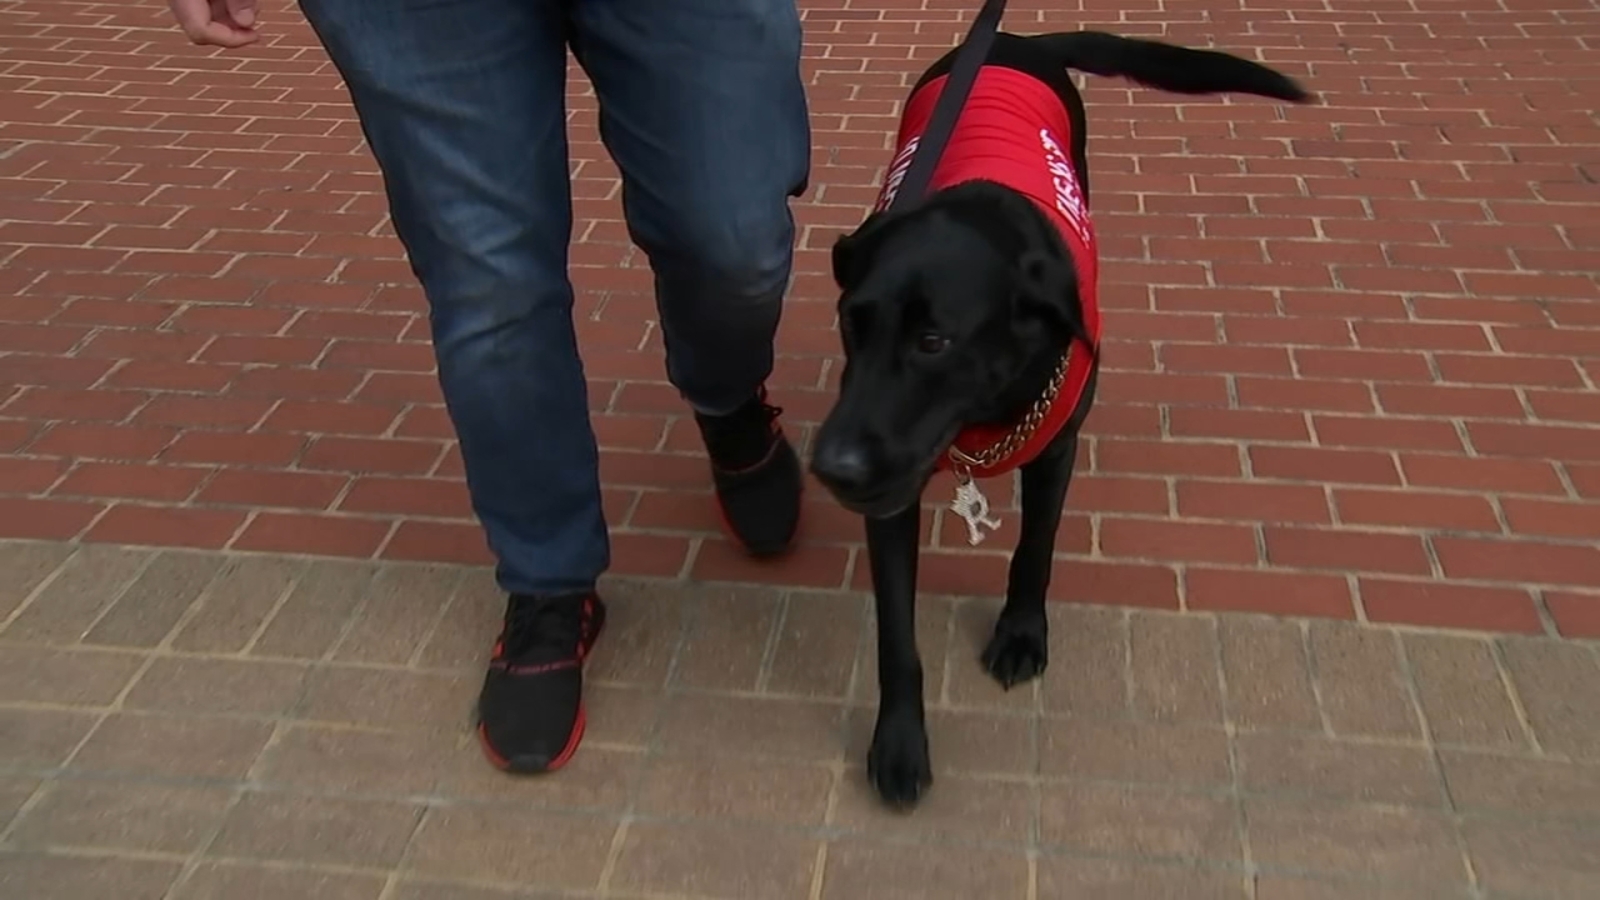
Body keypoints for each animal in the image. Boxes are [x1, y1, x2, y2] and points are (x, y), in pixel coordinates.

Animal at [812, 33, 1312, 807]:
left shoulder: (1055, 450)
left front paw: (1021, 632)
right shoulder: (892, 497)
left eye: (934, 341)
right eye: (849, 323)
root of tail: (1015, 37)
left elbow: (1034, 548)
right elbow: (897, 632)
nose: (831, 466)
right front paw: (898, 742)